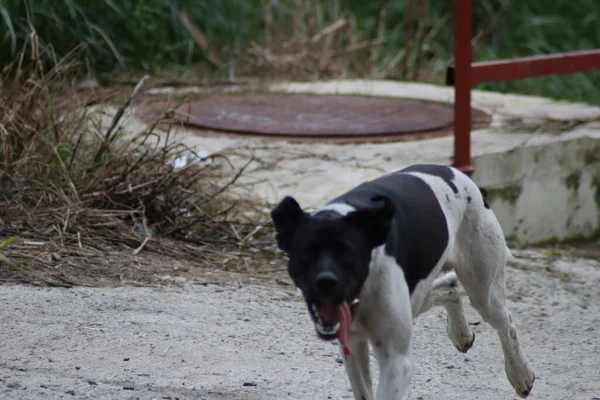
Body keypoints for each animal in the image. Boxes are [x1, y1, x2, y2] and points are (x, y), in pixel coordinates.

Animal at [270, 164, 536, 398]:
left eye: (348, 254)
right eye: (306, 254)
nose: (325, 283)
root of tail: (459, 174)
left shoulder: (396, 361)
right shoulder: (353, 347)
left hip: (483, 292)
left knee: (507, 325)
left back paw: (520, 374)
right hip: (417, 298)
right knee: (450, 285)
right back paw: (461, 333)